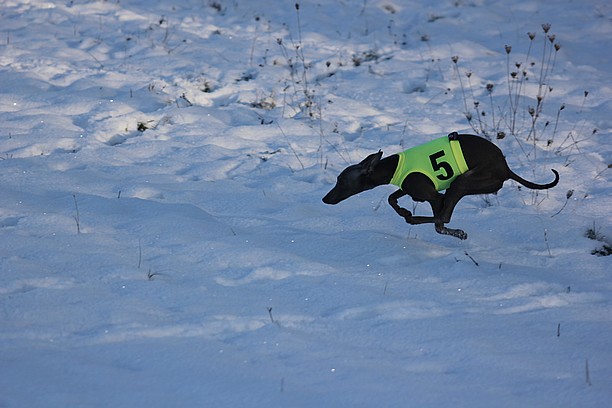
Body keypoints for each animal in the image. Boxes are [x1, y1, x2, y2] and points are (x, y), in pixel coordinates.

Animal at [326, 133, 560, 239]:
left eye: (341, 181)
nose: (324, 199)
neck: (393, 166)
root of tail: (506, 168)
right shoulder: (412, 188)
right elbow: (392, 198)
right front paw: (403, 209)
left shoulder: (434, 195)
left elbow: (437, 219)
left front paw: (408, 215)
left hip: (462, 182)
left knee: (442, 218)